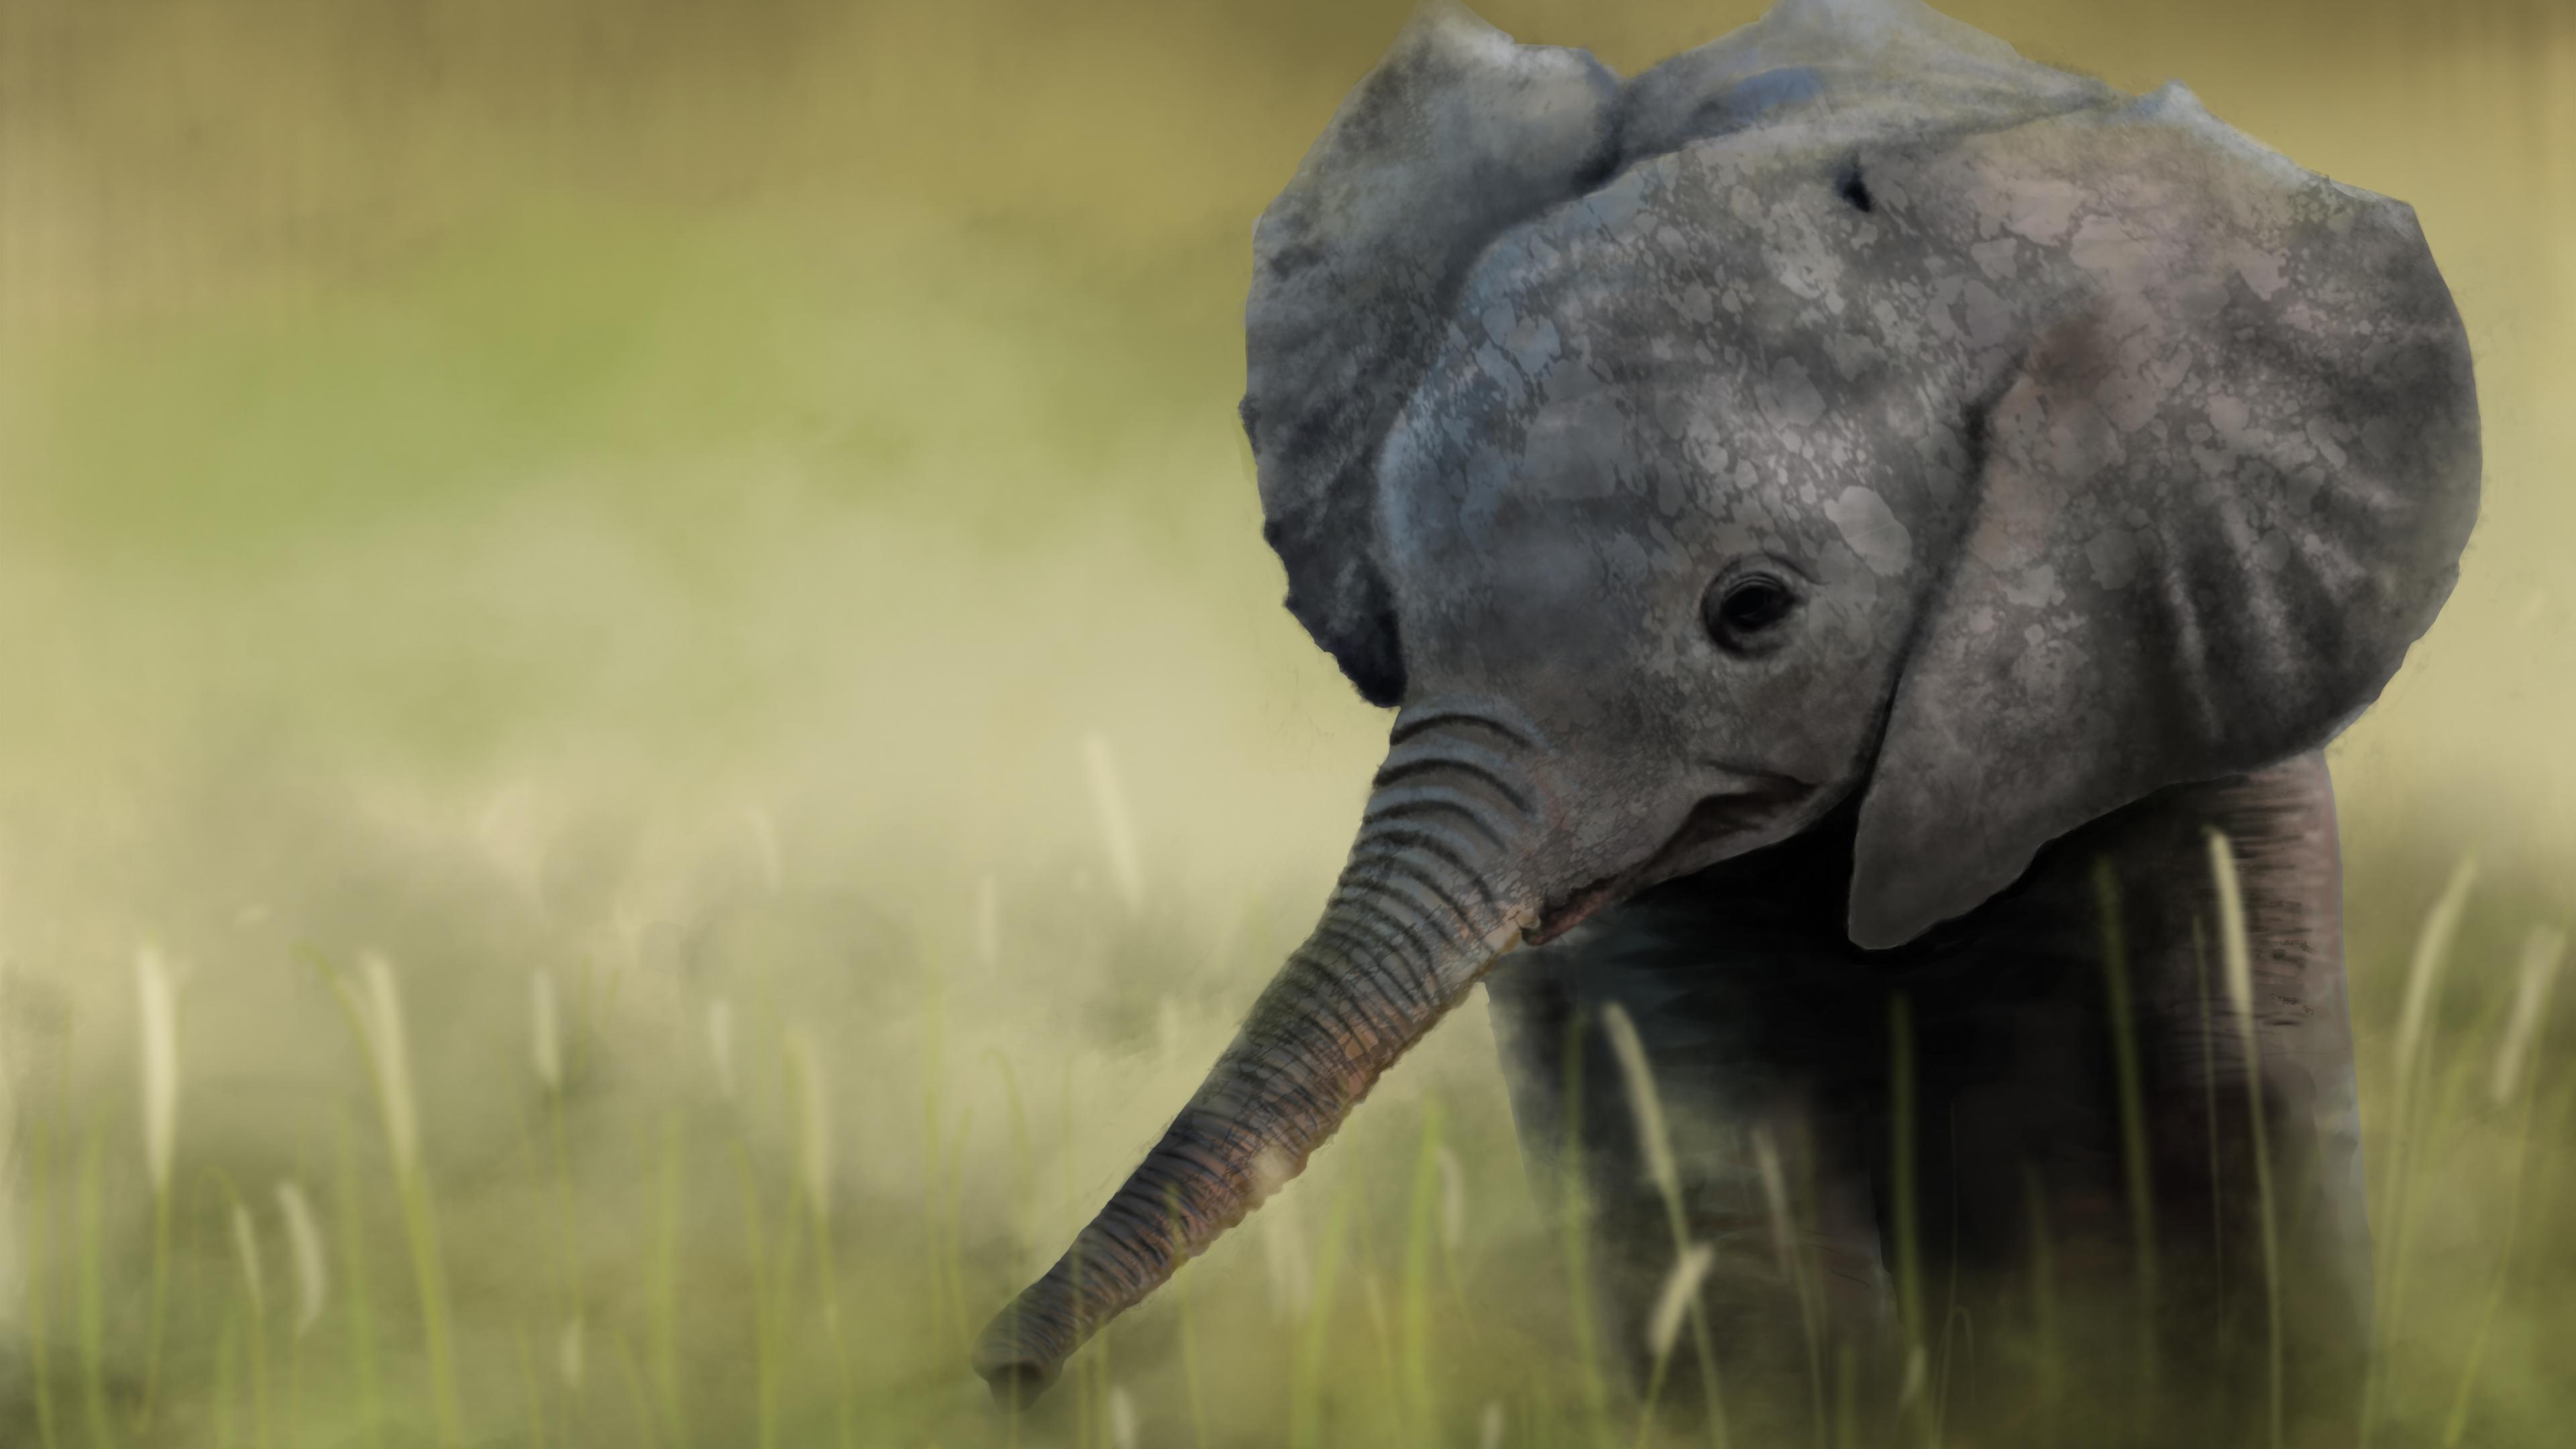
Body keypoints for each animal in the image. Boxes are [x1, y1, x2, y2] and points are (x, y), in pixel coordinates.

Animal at [975, 0, 2479, 1440]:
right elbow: (1720, 1203)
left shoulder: (2185, 692)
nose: (994, 1368)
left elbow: (2227, 1165)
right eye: (1394, 598)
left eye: (1754, 611)